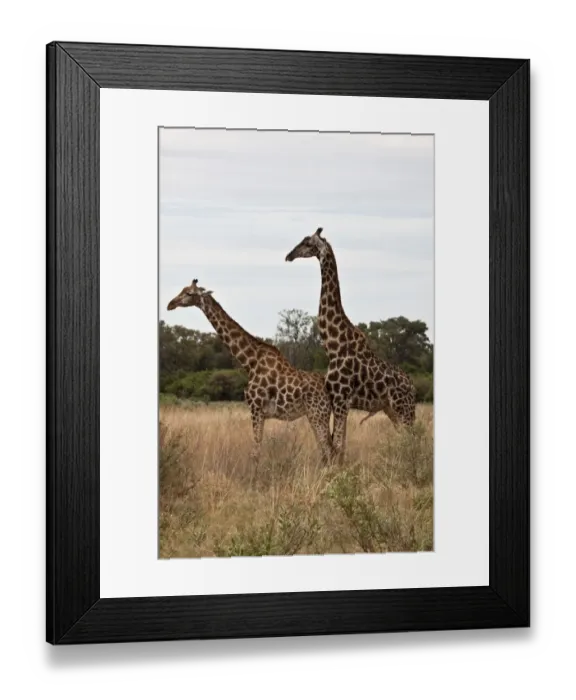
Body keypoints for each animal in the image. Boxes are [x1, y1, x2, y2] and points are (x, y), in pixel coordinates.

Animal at [166, 279, 333, 466]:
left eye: (189, 293)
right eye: (182, 289)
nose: (170, 304)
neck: (250, 362)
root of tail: (329, 387)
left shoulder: (255, 408)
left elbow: (255, 452)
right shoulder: (259, 412)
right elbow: (256, 450)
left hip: (318, 414)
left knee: (329, 450)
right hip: (315, 415)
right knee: (326, 450)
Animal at [285, 228, 417, 463]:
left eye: (307, 242)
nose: (289, 255)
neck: (333, 345)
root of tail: (414, 388)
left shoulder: (340, 399)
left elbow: (337, 446)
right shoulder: (339, 401)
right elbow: (340, 447)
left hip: (404, 409)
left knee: (413, 441)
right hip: (392, 410)